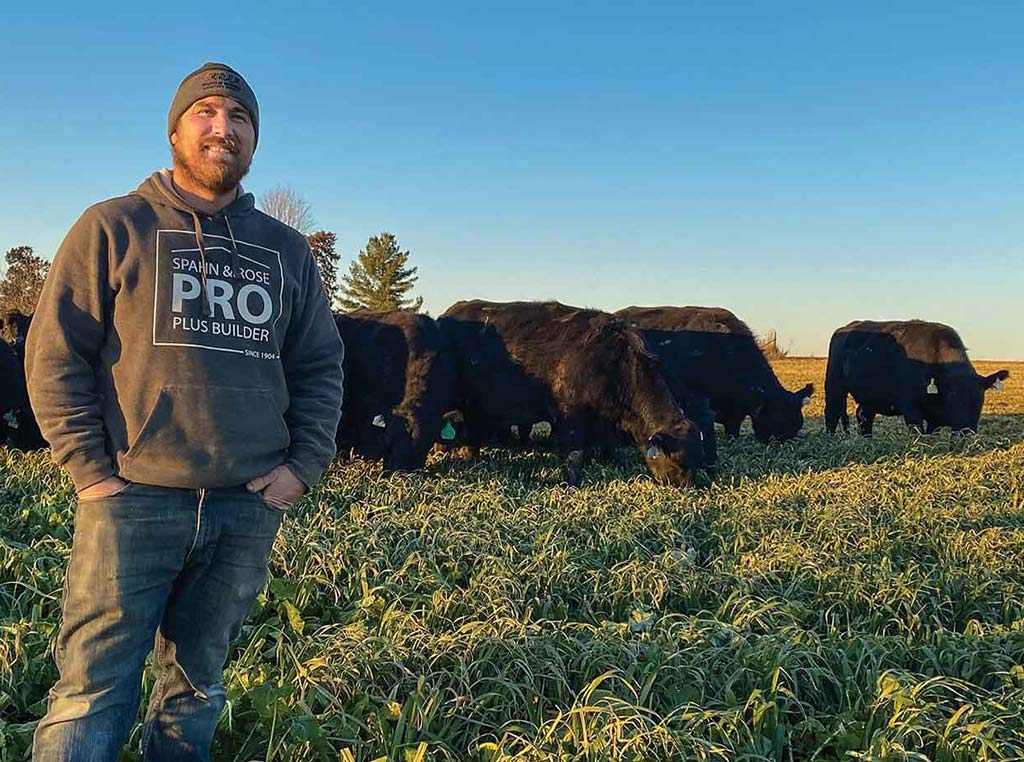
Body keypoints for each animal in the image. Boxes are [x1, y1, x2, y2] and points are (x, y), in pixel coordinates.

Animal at [440, 299, 712, 485]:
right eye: (677, 462)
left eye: (696, 461)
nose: (684, 487)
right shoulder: (570, 417)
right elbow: (574, 455)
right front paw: (571, 482)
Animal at [823, 317, 1007, 434]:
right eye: (953, 397)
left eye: (980, 399)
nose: (966, 432)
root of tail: (845, 328)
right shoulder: (911, 409)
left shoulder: (934, 419)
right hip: (834, 387)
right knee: (831, 414)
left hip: (870, 397)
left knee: (864, 416)